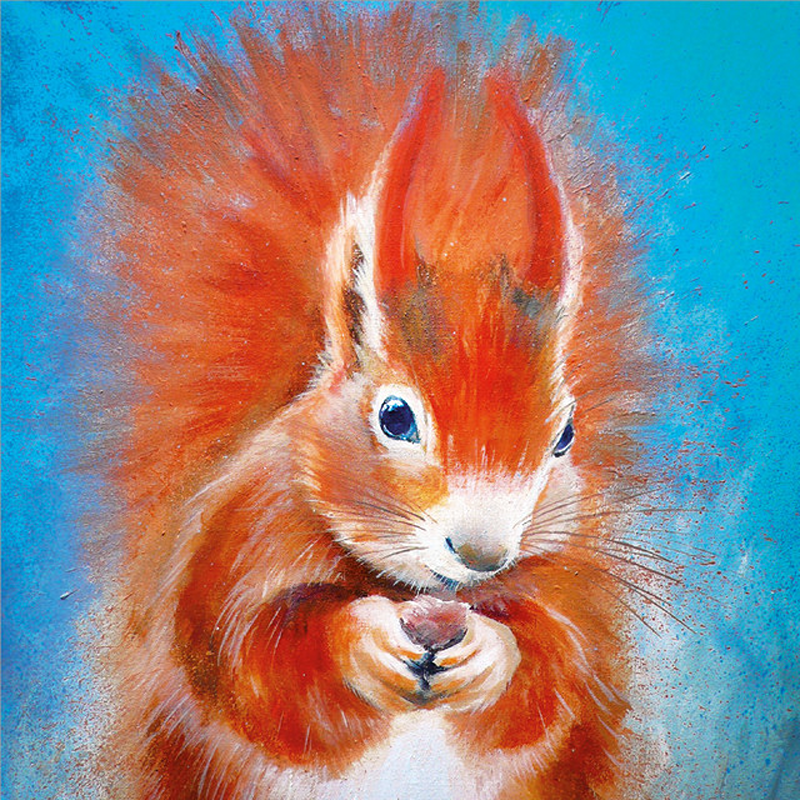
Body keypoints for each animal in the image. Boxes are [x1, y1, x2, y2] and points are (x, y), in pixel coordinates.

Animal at [94, 5, 658, 799]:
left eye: (565, 436)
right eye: (395, 418)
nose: (483, 555)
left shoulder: (577, 591)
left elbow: (554, 678)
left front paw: (491, 649)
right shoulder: (241, 544)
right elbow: (250, 663)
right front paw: (359, 641)